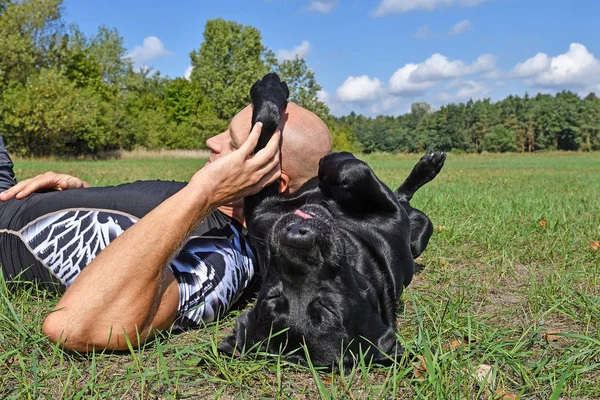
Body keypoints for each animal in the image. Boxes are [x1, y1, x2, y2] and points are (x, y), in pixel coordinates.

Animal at [218, 73, 442, 368]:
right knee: (400, 196)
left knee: (400, 196)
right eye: (273, 296)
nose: (295, 236)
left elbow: (266, 131)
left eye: (328, 308)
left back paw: (427, 167)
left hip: (421, 226)